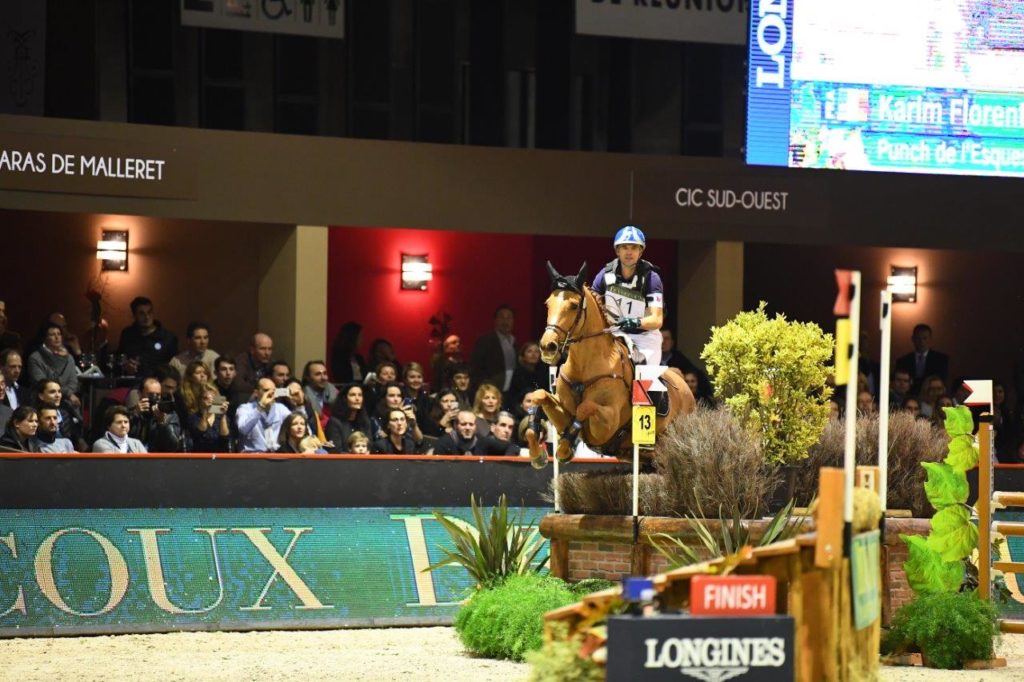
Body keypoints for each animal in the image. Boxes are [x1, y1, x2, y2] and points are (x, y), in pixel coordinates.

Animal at [528, 261, 696, 466]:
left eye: (574, 306)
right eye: (548, 304)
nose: (547, 346)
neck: (585, 366)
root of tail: (684, 384)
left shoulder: (608, 423)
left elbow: (585, 407)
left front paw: (564, 449)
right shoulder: (563, 411)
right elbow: (539, 395)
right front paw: (538, 454)